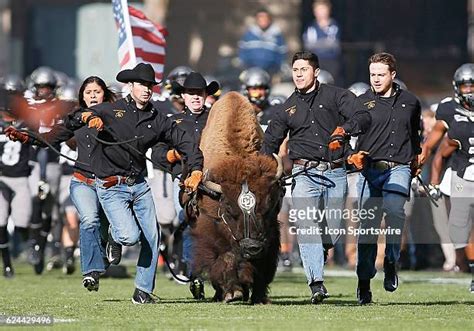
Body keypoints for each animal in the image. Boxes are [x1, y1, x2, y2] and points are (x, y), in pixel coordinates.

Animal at [190, 92, 286, 304]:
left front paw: (258, 296)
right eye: (228, 209)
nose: (252, 248)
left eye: (269, 206)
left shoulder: (270, 233)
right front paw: (233, 293)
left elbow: (263, 267)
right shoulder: (214, 229)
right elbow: (227, 258)